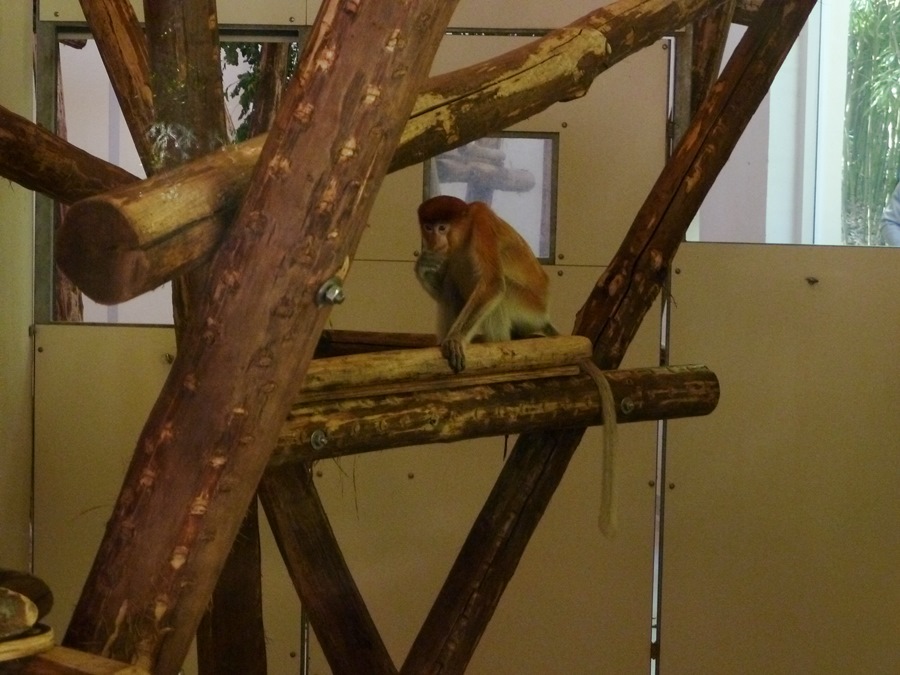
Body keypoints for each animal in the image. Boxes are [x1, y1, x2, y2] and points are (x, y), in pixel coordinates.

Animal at [415, 195, 558, 373]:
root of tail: (545, 315)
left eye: (442, 228)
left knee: (502, 292)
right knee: (450, 285)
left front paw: (455, 340)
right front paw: (423, 265)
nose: (434, 241)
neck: (466, 229)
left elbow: (493, 283)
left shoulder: (482, 221)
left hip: (531, 310)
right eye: (428, 228)